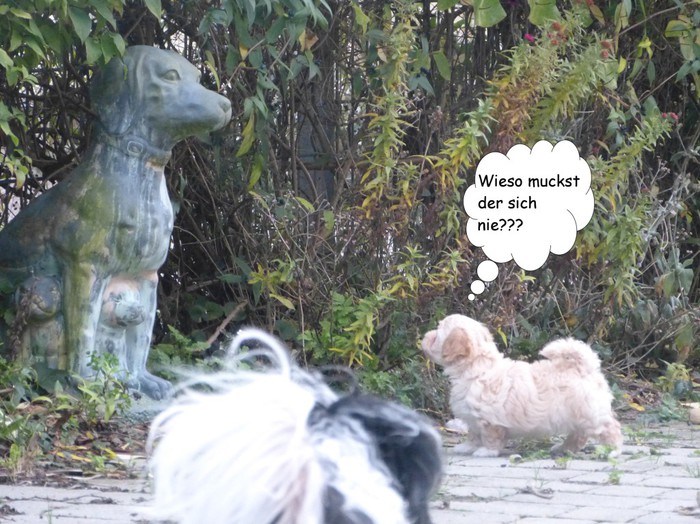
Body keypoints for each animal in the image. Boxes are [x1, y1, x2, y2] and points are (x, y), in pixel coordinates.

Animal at [421, 314, 623, 458]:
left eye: (437, 334)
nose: (425, 335)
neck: (477, 367)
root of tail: (584, 368)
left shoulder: (489, 419)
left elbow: (490, 437)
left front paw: (486, 451)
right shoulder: (472, 418)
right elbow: (473, 435)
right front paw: (466, 447)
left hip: (591, 414)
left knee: (610, 429)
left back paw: (613, 450)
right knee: (579, 435)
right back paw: (563, 448)